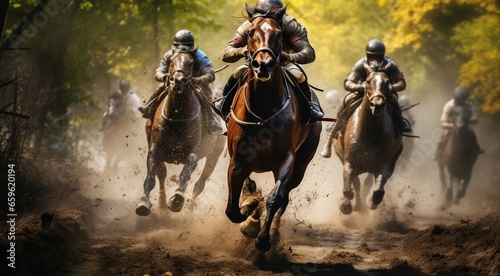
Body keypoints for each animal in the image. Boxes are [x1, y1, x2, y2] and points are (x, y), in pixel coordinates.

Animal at [135, 50, 225, 218]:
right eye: (171, 61)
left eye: (191, 63)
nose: (178, 80)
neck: (177, 117)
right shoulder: (155, 149)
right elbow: (152, 175)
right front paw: (144, 202)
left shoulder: (194, 151)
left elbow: (187, 171)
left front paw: (177, 198)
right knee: (162, 174)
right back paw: (162, 204)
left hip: (214, 154)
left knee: (200, 184)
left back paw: (189, 211)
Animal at [226, 4, 322, 252]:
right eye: (250, 33)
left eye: (279, 34)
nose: (263, 64)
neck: (262, 111)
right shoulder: (237, 161)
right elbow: (232, 209)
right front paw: (250, 210)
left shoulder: (286, 159)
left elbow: (275, 198)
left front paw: (262, 237)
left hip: (302, 163)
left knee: (285, 198)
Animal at [334, 70, 404, 215]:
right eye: (367, 81)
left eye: (388, 82)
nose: (377, 105)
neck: (369, 134)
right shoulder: (349, 162)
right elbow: (348, 188)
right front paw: (345, 204)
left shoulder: (384, 165)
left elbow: (377, 192)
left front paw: (371, 203)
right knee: (356, 184)